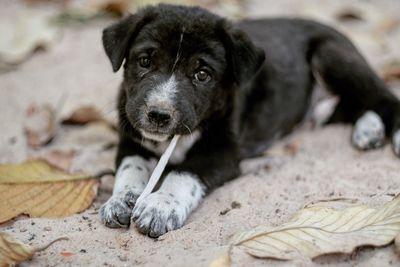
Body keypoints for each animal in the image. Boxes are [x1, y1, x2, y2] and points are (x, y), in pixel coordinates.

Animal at [98, 4, 400, 238]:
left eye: (202, 74)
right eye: (145, 61)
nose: (159, 115)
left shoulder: (220, 153)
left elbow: (182, 173)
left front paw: (160, 205)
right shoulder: (131, 141)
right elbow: (130, 168)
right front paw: (120, 201)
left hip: (332, 56)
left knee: (385, 99)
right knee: (356, 106)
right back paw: (368, 130)